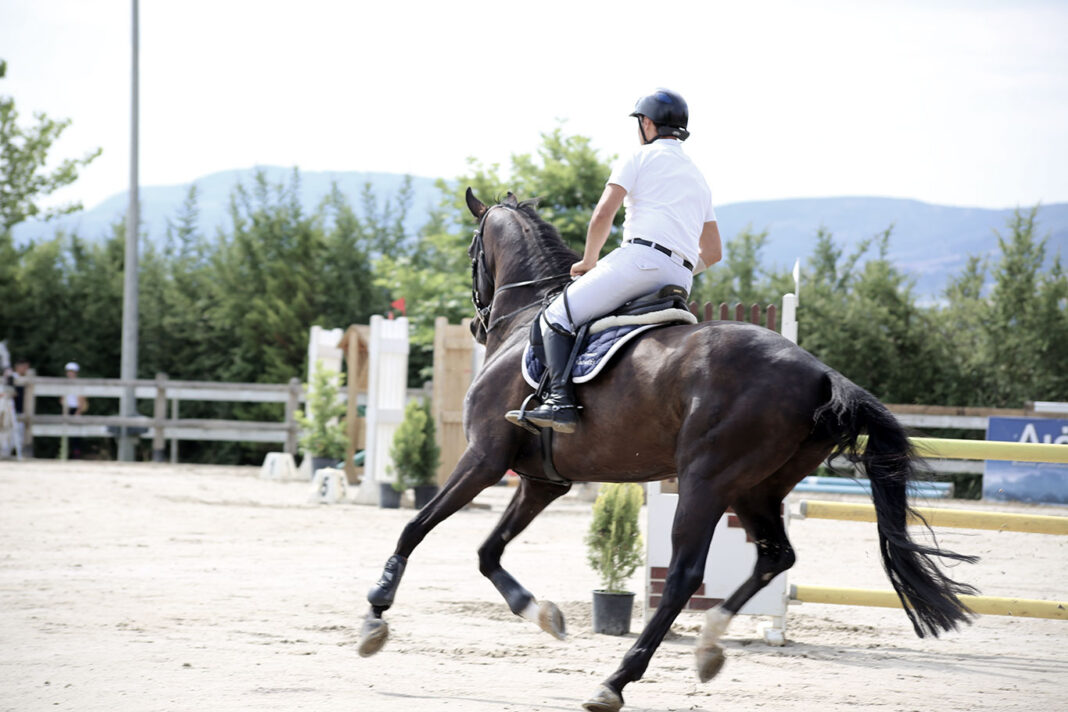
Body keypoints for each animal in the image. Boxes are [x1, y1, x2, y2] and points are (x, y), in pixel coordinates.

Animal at [358, 188, 978, 712]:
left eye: (472, 252)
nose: (476, 319)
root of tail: (822, 374)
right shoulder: (541, 481)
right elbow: (488, 552)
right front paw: (545, 616)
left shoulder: (485, 460)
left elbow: (415, 526)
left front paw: (374, 615)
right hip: (756, 489)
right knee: (774, 556)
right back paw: (708, 645)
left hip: (705, 482)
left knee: (683, 575)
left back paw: (616, 681)